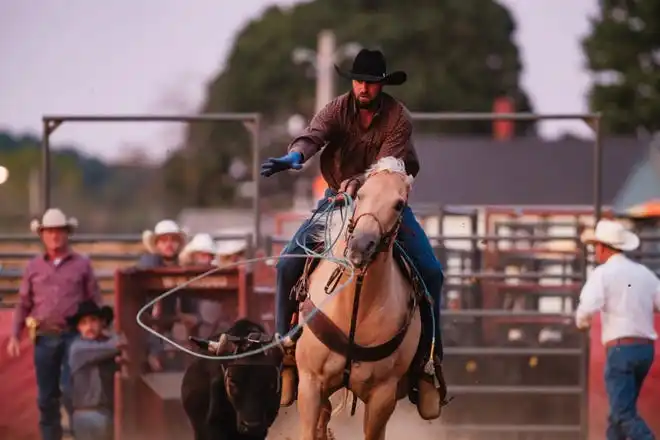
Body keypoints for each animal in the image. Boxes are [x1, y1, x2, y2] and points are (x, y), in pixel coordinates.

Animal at [296, 158, 434, 440]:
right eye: (360, 194)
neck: (355, 303)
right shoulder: (310, 383)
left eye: (399, 204)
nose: (360, 245)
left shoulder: (382, 396)